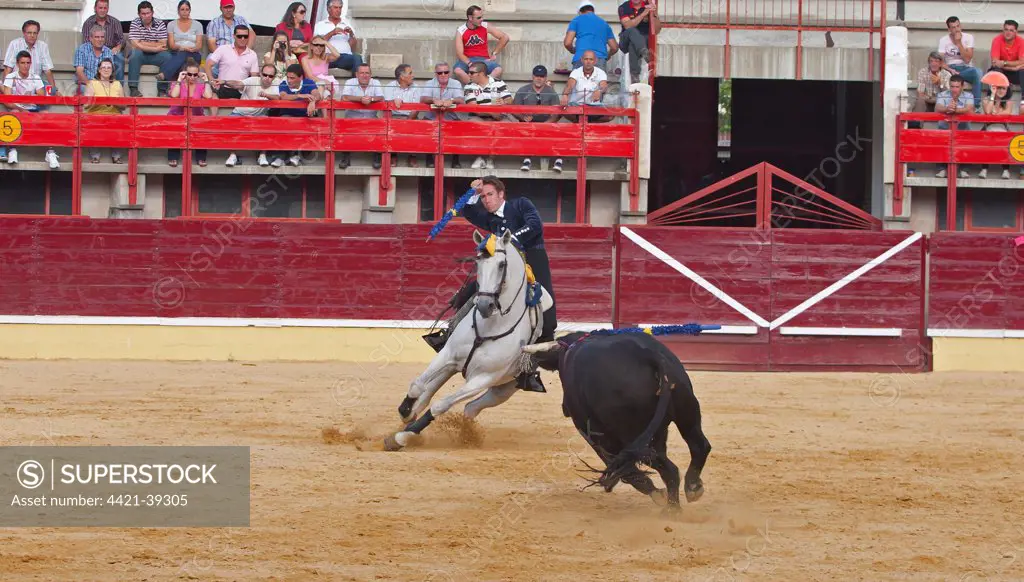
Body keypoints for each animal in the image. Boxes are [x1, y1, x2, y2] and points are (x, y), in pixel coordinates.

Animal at [385, 227, 548, 450]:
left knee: (471, 408)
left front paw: (401, 437)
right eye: (477, 262)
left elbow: (441, 405)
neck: (491, 325)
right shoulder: (448, 354)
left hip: (504, 388)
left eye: (502, 264)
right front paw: (405, 412)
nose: (485, 305)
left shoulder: (482, 379)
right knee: (430, 393)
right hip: (455, 367)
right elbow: (417, 385)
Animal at [536, 331, 712, 508]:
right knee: (699, 446)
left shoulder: (596, 436)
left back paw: (671, 507)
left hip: (632, 437)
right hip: (686, 412)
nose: (564, 407)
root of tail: (646, 353)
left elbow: (621, 467)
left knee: (668, 469)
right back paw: (692, 487)